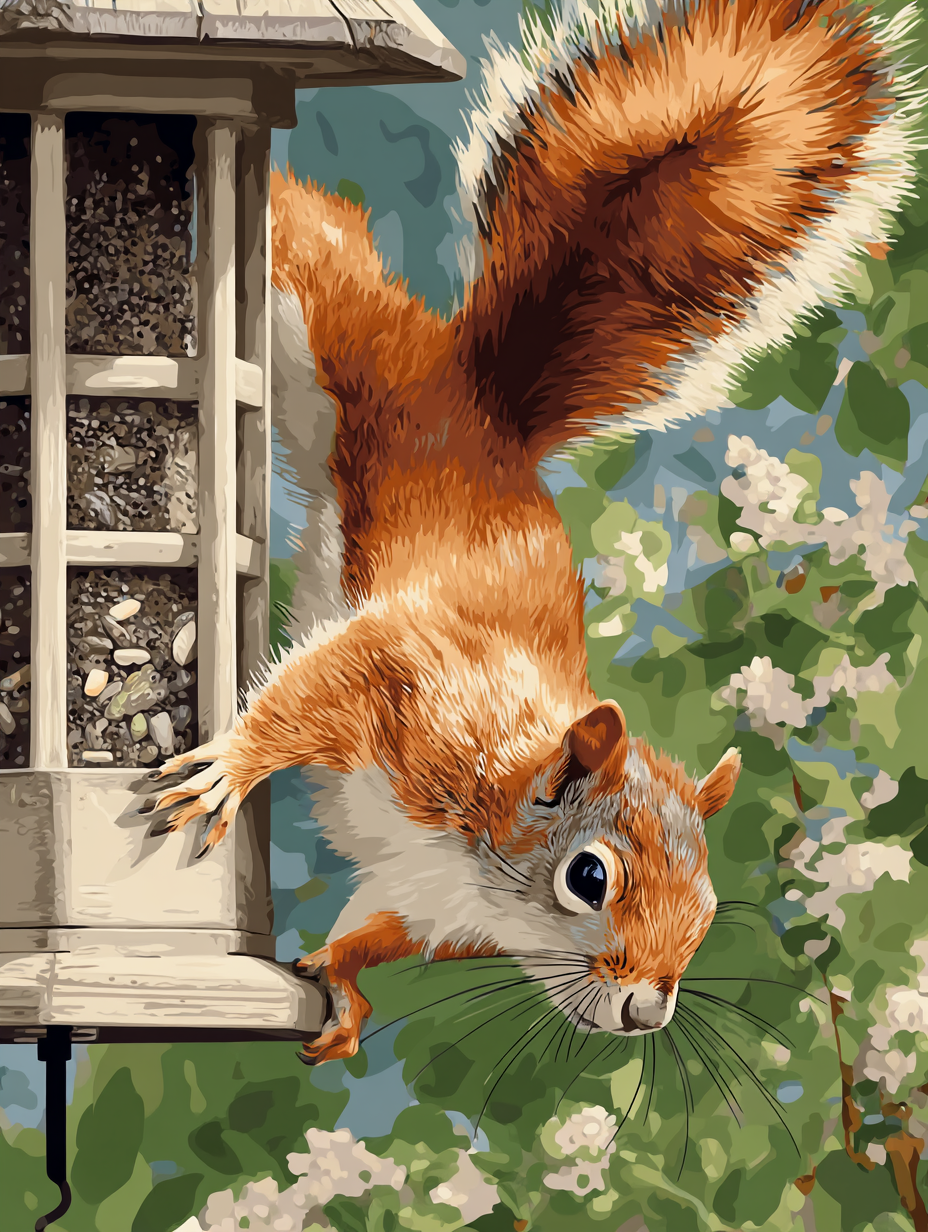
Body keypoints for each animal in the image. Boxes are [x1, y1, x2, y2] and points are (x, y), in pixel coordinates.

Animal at [149, 0, 922, 1065]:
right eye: (589, 877)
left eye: (707, 909)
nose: (648, 1010)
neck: (490, 844)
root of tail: (482, 402)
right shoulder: (415, 686)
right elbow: (316, 690)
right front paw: (230, 765)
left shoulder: (423, 898)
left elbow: (372, 929)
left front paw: (339, 990)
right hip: (337, 332)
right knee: (312, 240)